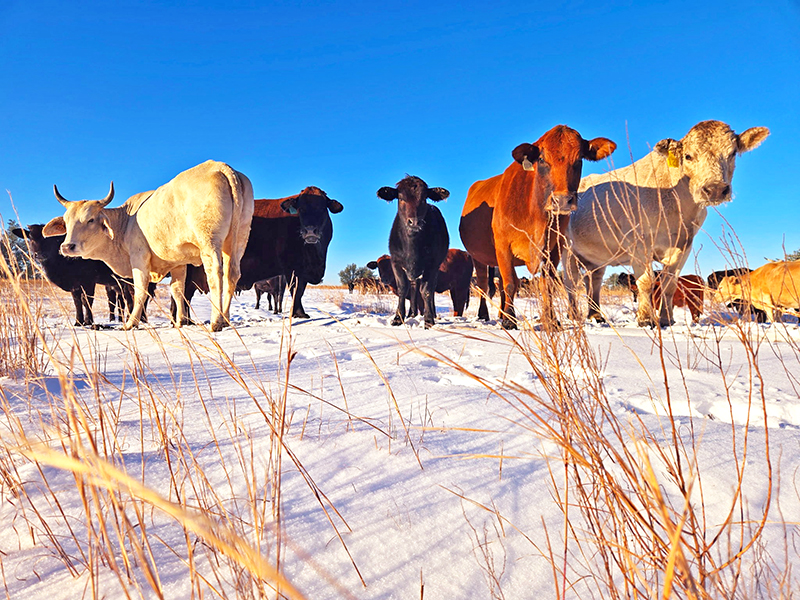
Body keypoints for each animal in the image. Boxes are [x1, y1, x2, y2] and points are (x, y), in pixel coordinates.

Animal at [43, 159, 253, 332]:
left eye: (91, 220)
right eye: (66, 222)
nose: (67, 247)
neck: (127, 222)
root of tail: (221, 167)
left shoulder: (139, 258)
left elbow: (140, 291)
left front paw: (131, 323)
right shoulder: (178, 263)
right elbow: (177, 290)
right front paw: (180, 322)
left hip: (209, 241)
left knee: (216, 274)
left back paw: (217, 321)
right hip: (238, 240)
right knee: (232, 274)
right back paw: (226, 318)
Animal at [376, 176, 450, 328]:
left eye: (424, 198)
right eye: (401, 198)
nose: (414, 222)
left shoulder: (432, 265)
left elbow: (426, 291)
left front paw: (428, 319)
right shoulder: (396, 262)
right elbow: (403, 289)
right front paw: (398, 318)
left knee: (429, 290)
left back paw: (431, 313)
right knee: (414, 288)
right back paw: (412, 314)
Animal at [456, 125, 620, 328]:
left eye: (579, 159)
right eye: (541, 159)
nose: (562, 200)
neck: (536, 216)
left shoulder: (554, 248)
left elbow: (546, 284)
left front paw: (551, 320)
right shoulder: (503, 246)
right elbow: (510, 283)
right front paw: (509, 322)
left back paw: (502, 313)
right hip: (478, 257)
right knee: (483, 285)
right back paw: (484, 315)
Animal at [564, 119, 768, 326]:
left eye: (732, 153)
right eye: (688, 156)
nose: (716, 189)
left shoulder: (684, 245)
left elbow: (669, 284)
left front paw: (666, 319)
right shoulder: (639, 243)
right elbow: (646, 281)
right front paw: (645, 318)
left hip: (596, 256)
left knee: (594, 280)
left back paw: (595, 315)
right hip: (568, 249)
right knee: (571, 282)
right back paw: (573, 315)